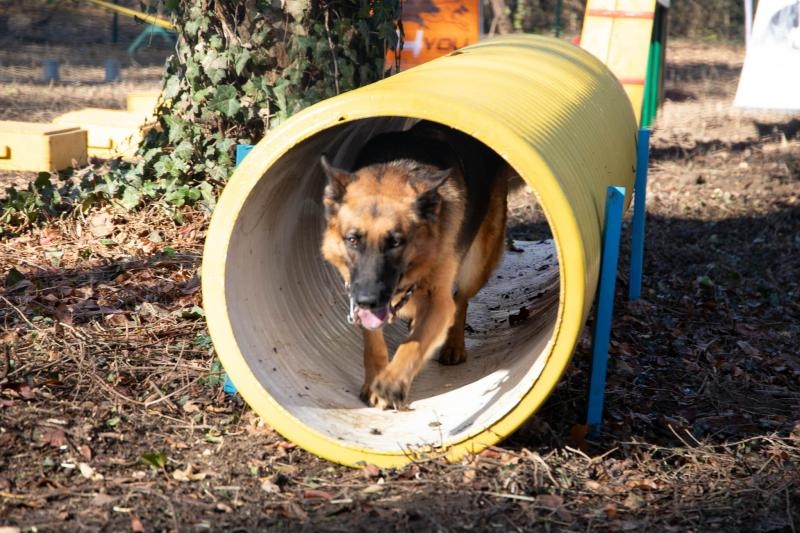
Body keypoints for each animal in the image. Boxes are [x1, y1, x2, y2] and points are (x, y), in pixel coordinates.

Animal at [318, 120, 506, 410]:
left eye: (396, 242)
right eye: (352, 239)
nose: (367, 299)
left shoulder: (438, 301)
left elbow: (413, 345)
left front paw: (390, 383)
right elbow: (373, 342)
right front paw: (374, 378)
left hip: (476, 266)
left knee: (461, 300)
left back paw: (453, 346)